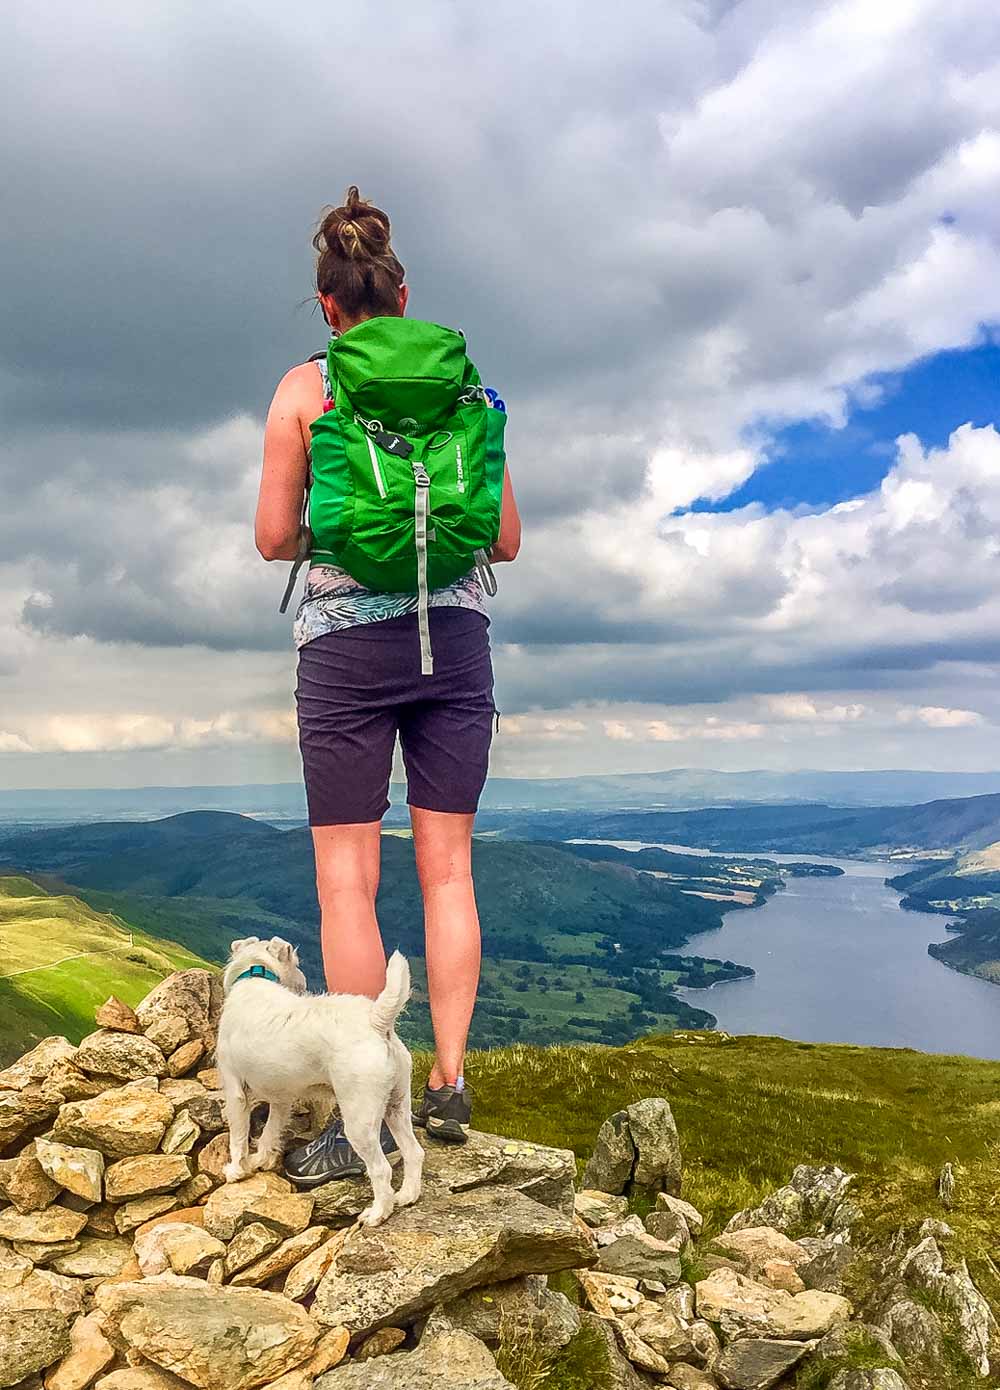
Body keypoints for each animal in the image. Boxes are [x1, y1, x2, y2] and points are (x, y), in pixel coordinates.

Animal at [215, 934, 422, 1228]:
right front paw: (261, 1160)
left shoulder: (235, 1091)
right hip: (397, 1105)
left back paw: (378, 1213)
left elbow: (238, 1136)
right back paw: (407, 1195)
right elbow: (270, 1131)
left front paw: (236, 1170)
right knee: (414, 1152)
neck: (256, 974)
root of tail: (376, 1021)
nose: (304, 981)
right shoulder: (281, 1098)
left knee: (381, 1169)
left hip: (359, 1120)